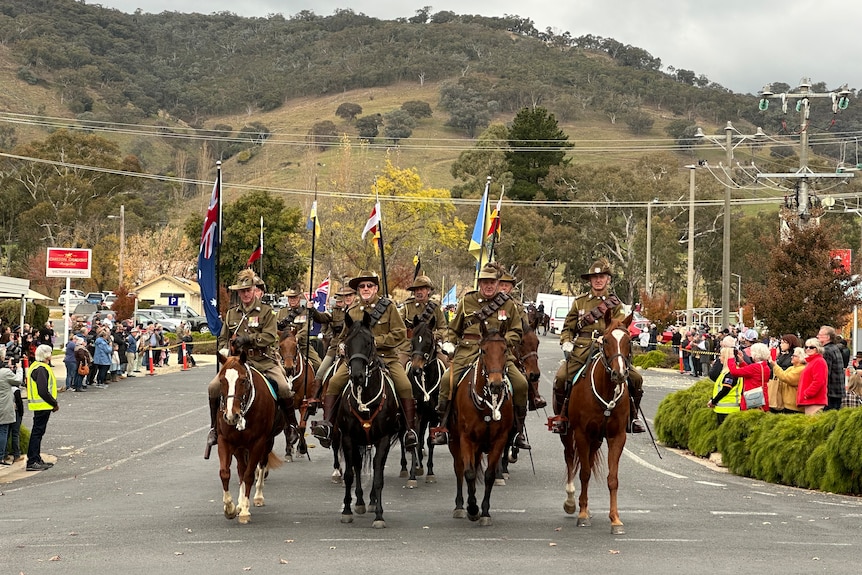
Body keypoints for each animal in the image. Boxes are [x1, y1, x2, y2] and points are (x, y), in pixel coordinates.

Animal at [216, 346, 284, 528]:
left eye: (243, 381)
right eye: (222, 381)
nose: (231, 415)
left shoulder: (258, 442)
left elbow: (249, 475)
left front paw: (245, 511)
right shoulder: (225, 441)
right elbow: (226, 473)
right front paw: (230, 507)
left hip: (267, 443)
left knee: (260, 466)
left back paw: (258, 496)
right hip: (239, 447)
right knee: (241, 469)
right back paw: (239, 502)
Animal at [338, 312, 404, 528]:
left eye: (368, 342)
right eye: (347, 342)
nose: (357, 375)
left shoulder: (383, 439)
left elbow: (378, 476)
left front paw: (379, 515)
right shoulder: (348, 437)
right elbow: (350, 474)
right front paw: (347, 510)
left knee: (376, 467)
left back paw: (373, 501)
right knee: (358, 466)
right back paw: (359, 502)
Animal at [448, 320, 516, 528]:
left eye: (505, 349)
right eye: (484, 350)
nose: (496, 385)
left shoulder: (499, 440)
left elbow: (489, 475)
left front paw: (484, 511)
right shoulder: (466, 438)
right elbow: (468, 473)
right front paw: (471, 508)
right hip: (455, 441)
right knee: (459, 468)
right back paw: (460, 506)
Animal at [560, 310, 636, 536]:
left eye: (629, 340)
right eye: (606, 340)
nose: (620, 374)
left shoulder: (616, 436)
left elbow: (613, 478)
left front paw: (615, 520)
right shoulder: (581, 434)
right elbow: (584, 473)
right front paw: (583, 515)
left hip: (596, 439)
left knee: (590, 460)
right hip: (569, 434)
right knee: (570, 459)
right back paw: (572, 502)